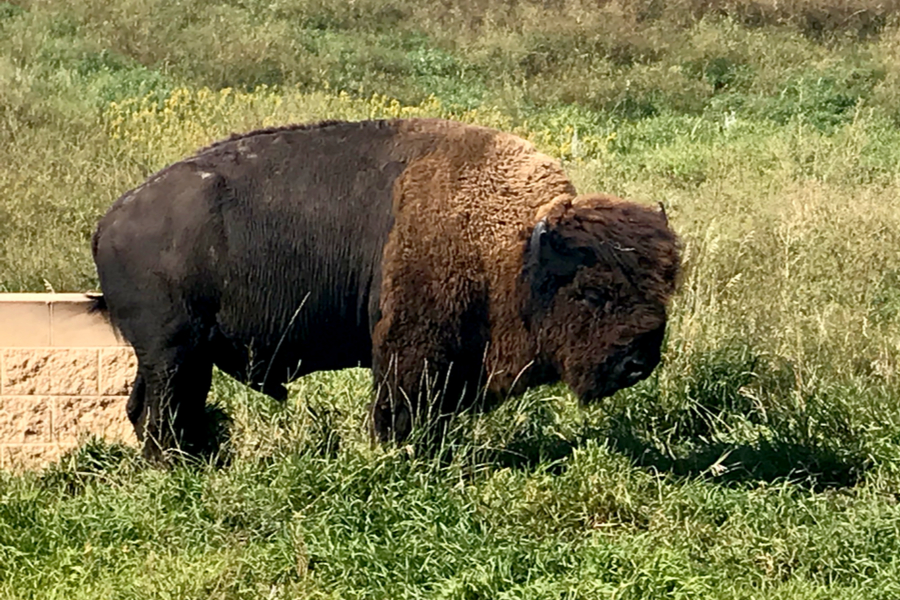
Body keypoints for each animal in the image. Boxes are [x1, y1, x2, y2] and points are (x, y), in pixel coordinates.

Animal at [93, 117, 684, 460]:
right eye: (590, 292)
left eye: (664, 288)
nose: (639, 360)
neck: (515, 248)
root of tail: (111, 220)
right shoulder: (411, 348)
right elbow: (400, 408)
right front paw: (399, 457)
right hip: (174, 351)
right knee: (162, 410)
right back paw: (179, 465)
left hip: (182, 356)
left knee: (153, 406)